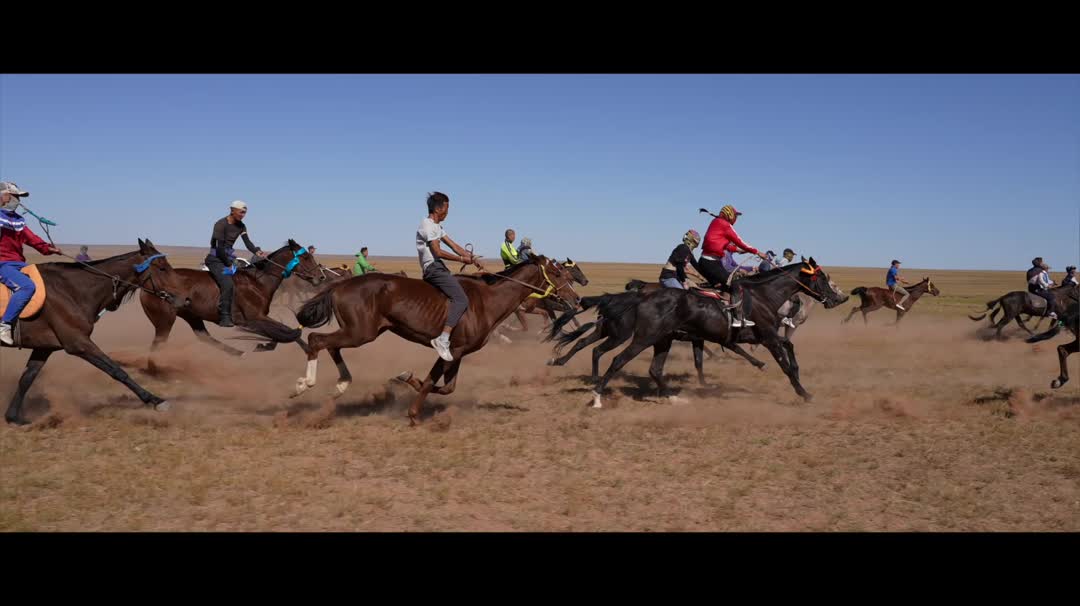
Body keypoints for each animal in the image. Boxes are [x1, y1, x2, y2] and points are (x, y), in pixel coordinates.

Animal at [2, 238, 185, 423]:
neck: (70, 290)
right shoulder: (78, 343)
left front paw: (13, 417)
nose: (185, 299)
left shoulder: (44, 347)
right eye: (162, 268)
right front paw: (156, 400)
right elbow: (116, 370)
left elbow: (27, 378)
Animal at [137, 237, 319, 373]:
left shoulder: (258, 318)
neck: (258, 282)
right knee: (158, 342)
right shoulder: (252, 318)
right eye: (306, 257)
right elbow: (287, 332)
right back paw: (154, 370)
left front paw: (266, 345)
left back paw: (239, 353)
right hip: (165, 320)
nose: (321, 276)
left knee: (203, 336)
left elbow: (282, 332)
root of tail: (147, 284)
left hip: (191, 315)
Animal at [241, 252, 570, 423]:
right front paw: (412, 410)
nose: (574, 298)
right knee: (316, 341)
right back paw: (303, 386)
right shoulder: (452, 350)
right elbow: (432, 383)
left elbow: (445, 386)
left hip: (361, 331)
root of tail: (339, 285)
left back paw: (340, 385)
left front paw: (406, 379)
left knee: (328, 345)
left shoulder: (458, 352)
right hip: (361, 333)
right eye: (559, 274)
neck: (487, 300)